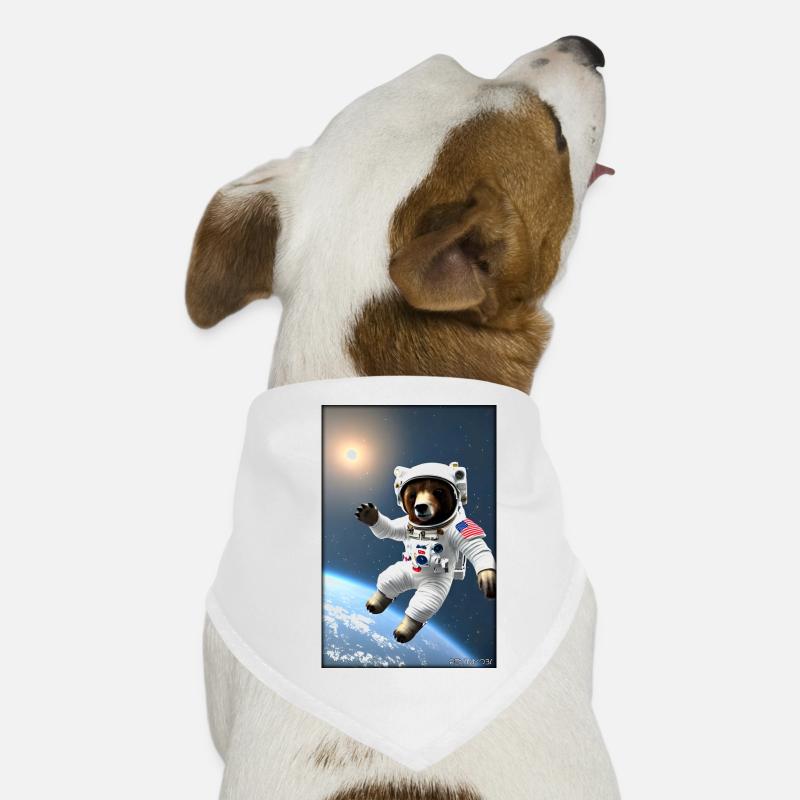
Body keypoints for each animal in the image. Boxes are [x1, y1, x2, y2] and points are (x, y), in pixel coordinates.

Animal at [355, 462, 496, 643]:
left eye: (438, 492)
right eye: (412, 495)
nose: (420, 506)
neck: (428, 526)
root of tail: (415, 580)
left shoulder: (458, 528)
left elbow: (476, 547)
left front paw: (487, 578)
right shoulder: (404, 524)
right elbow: (390, 529)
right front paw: (369, 514)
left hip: (435, 584)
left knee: (424, 602)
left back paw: (403, 631)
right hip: (403, 570)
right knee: (388, 580)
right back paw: (375, 603)